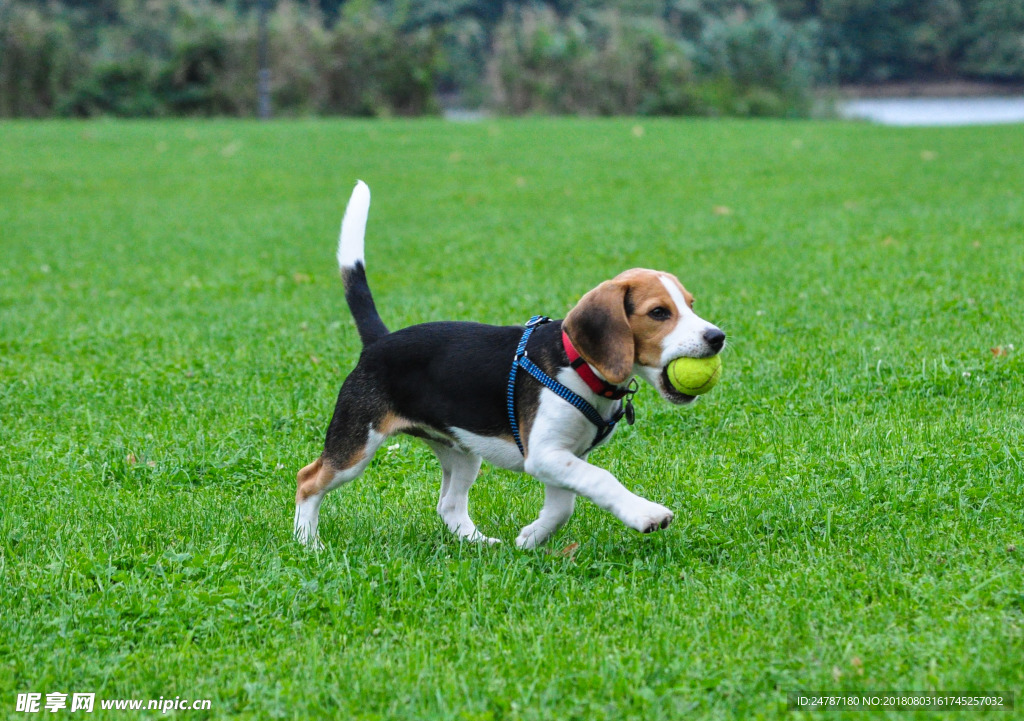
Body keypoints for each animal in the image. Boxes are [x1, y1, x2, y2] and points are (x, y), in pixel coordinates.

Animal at [294, 183, 729, 548]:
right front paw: (645, 514)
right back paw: (308, 544)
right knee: (308, 480)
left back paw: (480, 544)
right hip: (356, 442)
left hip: (463, 450)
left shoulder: (563, 455)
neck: (580, 366)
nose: (717, 336)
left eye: (690, 304)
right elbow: (601, 480)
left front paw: (530, 538)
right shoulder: (547, 453)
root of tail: (379, 341)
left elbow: (563, 507)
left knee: (449, 505)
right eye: (658, 313)